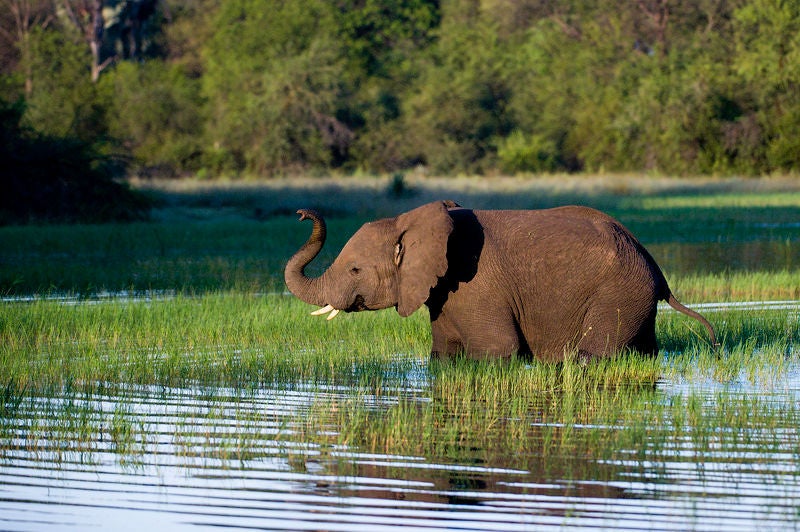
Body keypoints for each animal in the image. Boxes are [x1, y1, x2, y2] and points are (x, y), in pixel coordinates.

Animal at [286, 201, 720, 362]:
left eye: (355, 270)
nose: (302, 214)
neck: (410, 220)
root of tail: (656, 268)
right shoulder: (445, 293)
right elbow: (443, 354)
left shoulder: (476, 284)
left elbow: (498, 350)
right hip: (633, 297)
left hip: (617, 293)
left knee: (594, 355)